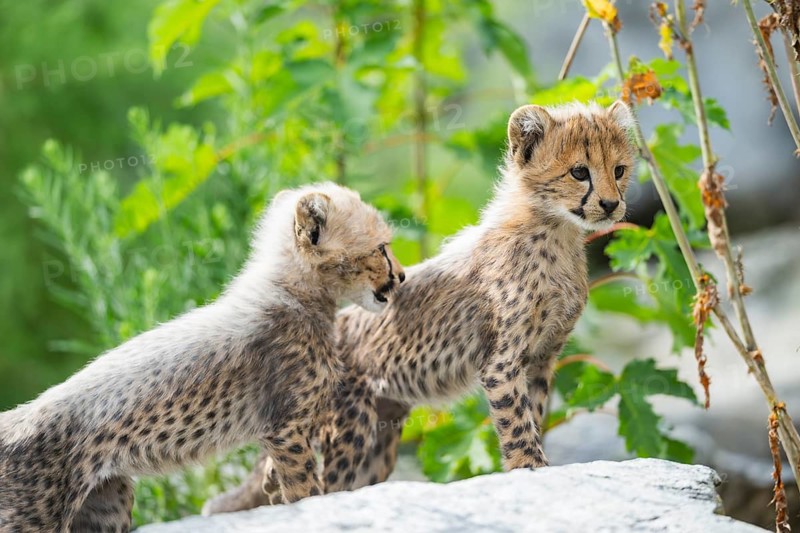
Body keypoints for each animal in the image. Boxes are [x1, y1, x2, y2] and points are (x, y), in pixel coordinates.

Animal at [0, 182, 405, 532]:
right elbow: (305, 489)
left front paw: (272, 487)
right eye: (382, 248)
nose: (401, 276)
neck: (293, 290)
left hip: (107, 502)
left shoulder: (285, 430)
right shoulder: (285, 427)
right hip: (33, 518)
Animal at [203, 100, 637, 514]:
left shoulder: (542, 358)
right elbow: (516, 422)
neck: (557, 233)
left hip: (382, 431)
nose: (611, 204)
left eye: (619, 170)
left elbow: (535, 412)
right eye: (579, 172)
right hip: (347, 425)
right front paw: (529, 468)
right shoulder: (502, 361)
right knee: (318, 483)